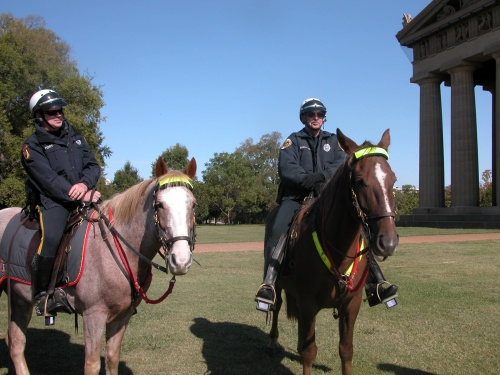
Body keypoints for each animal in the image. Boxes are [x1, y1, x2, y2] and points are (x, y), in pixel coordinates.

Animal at [0, 157, 198, 374]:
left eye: (193, 205)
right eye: (160, 205)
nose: (180, 260)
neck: (116, 247)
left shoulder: (122, 316)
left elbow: (111, 359)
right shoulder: (93, 315)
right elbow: (92, 364)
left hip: (19, 298)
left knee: (15, 341)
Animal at [268, 129, 400, 375]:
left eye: (393, 179)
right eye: (360, 181)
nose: (388, 242)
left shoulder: (351, 305)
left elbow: (346, 351)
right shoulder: (308, 303)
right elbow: (309, 352)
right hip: (279, 285)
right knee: (277, 305)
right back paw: (272, 339)